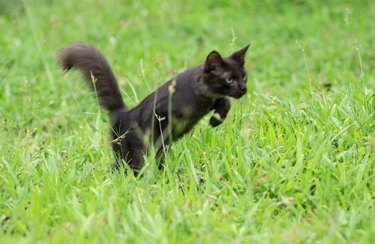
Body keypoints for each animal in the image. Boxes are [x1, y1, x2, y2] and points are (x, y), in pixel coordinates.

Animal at [60, 42, 251, 172]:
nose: (243, 88)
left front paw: (216, 119)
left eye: (244, 77)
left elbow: (225, 101)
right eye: (229, 79)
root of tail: (122, 113)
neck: (202, 95)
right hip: (126, 151)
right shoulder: (161, 111)